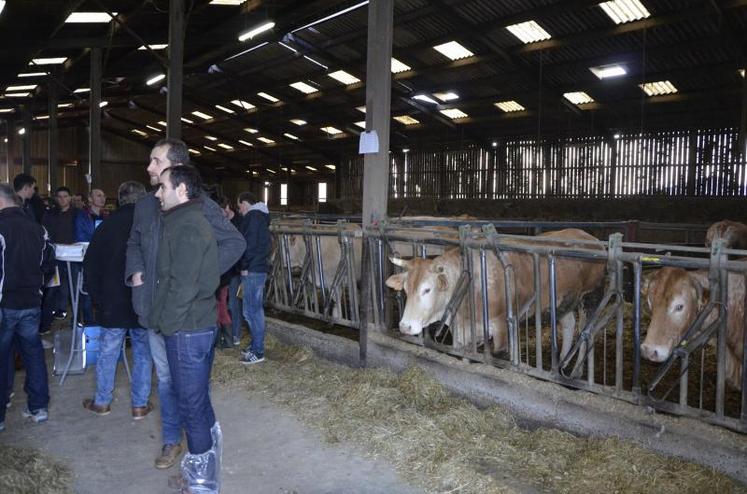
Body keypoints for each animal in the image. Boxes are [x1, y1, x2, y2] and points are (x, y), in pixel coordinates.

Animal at [386, 230, 608, 356]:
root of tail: (590, 238)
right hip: (561, 302)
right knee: (569, 324)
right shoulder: (463, 334)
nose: (405, 326)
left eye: (427, 289)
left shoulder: (501, 327)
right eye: (405, 289)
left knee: (586, 334)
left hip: (589, 298)